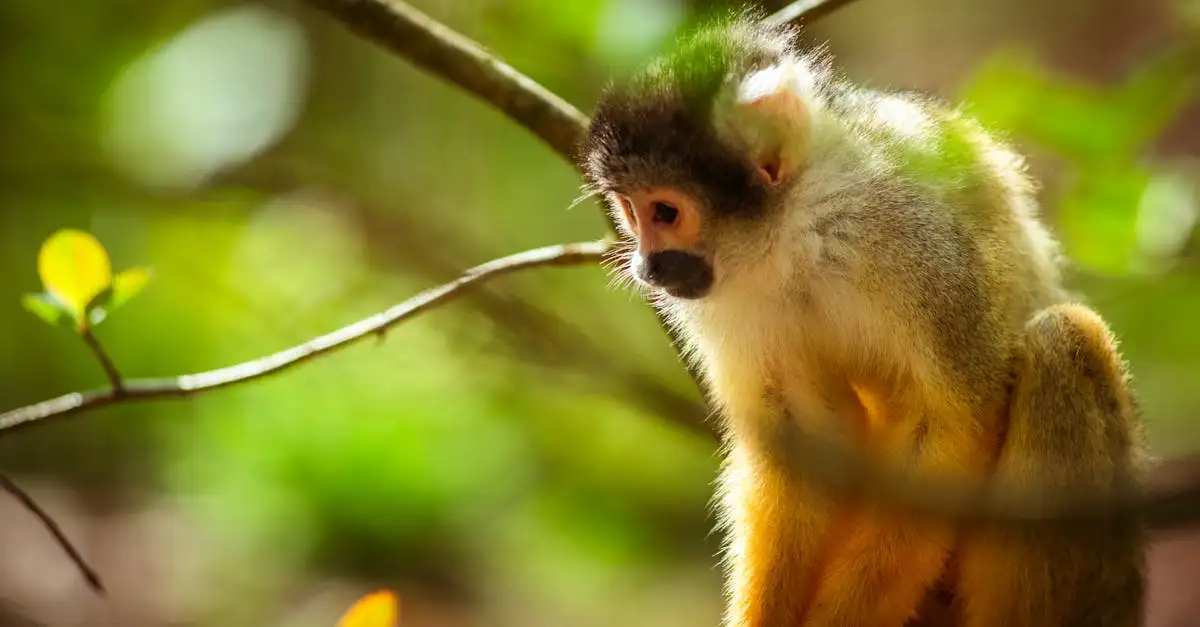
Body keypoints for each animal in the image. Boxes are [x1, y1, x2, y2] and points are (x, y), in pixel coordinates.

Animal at [579, 10, 1148, 627]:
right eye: (630, 212)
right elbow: (802, 446)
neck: (795, 233)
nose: (648, 266)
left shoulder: (902, 228)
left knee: (1063, 337)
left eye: (666, 212)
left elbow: (953, 422)